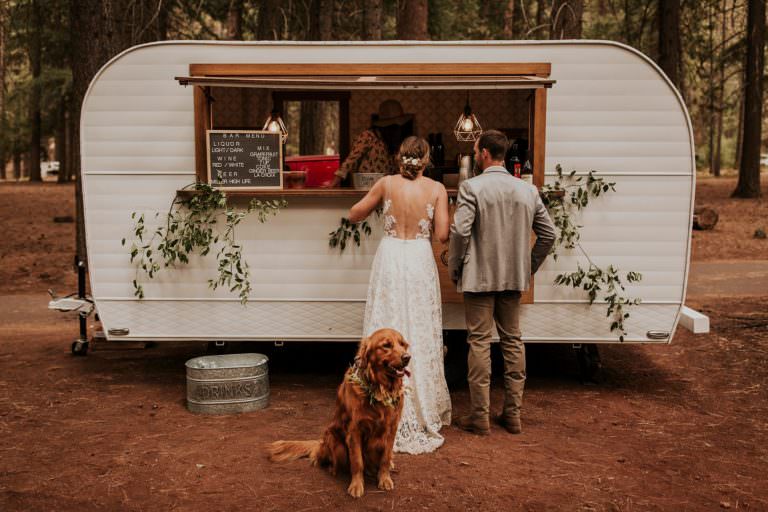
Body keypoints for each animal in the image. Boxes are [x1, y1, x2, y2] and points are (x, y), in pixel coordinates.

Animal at [268, 326, 412, 498]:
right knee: (323, 458)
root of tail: (322, 442)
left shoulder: (391, 428)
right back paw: (332, 468)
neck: (379, 388)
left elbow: (385, 457)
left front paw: (384, 479)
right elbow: (357, 462)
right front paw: (356, 485)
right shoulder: (355, 430)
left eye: (402, 344)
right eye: (386, 345)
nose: (407, 357)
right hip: (336, 442)